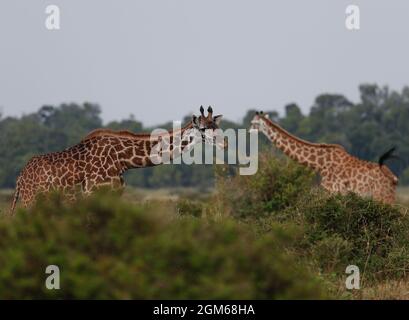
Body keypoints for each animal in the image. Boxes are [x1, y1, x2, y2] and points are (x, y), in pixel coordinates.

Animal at [10, 106, 223, 214]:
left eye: (217, 126)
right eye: (203, 128)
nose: (224, 143)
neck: (123, 160)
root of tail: (20, 179)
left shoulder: (113, 195)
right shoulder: (92, 195)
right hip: (30, 202)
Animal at [249, 111, 398, 204]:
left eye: (253, 123)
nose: (248, 131)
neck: (320, 164)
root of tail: (394, 179)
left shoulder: (331, 191)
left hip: (382, 197)